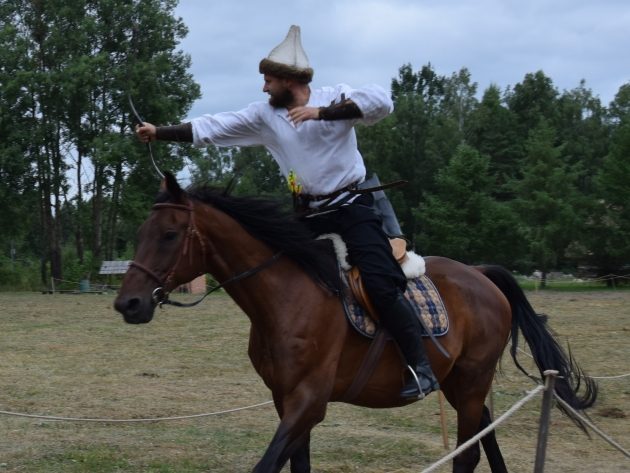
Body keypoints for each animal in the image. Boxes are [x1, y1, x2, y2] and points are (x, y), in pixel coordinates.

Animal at [116, 174, 600, 472]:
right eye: (140, 233)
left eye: (169, 235)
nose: (129, 303)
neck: (288, 294)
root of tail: (480, 274)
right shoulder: (284, 400)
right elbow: (298, 465)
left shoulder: (309, 401)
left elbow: (267, 464)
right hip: (459, 383)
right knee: (484, 437)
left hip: (471, 380)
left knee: (467, 455)